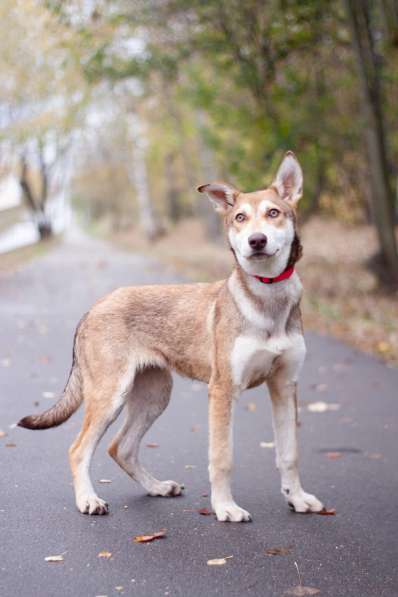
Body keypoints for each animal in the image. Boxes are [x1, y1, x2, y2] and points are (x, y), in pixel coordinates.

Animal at [17, 151, 324, 520]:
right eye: (240, 217)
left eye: (273, 213)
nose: (256, 242)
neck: (267, 299)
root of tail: (93, 308)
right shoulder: (223, 391)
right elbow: (222, 458)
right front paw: (225, 507)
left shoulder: (284, 386)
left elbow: (289, 453)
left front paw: (298, 498)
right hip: (110, 395)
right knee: (79, 449)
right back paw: (88, 500)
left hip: (154, 395)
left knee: (121, 447)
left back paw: (157, 487)